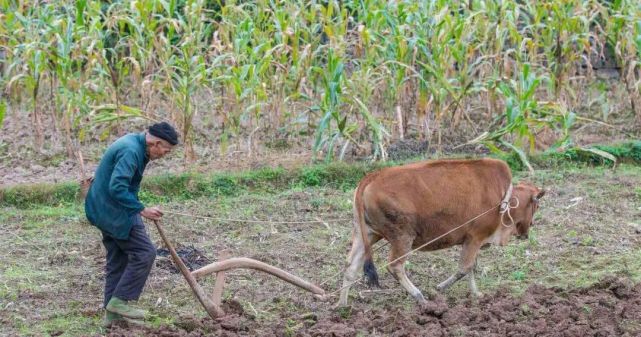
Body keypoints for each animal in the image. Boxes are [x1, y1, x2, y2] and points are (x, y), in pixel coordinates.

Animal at [338, 158, 544, 308]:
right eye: (536, 204)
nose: (530, 227)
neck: (503, 196)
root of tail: (371, 177)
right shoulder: (475, 237)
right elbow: (464, 268)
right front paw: (439, 288)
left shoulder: (472, 241)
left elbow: (471, 268)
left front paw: (477, 294)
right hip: (402, 238)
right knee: (395, 266)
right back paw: (419, 296)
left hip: (367, 234)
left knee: (351, 266)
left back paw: (342, 305)